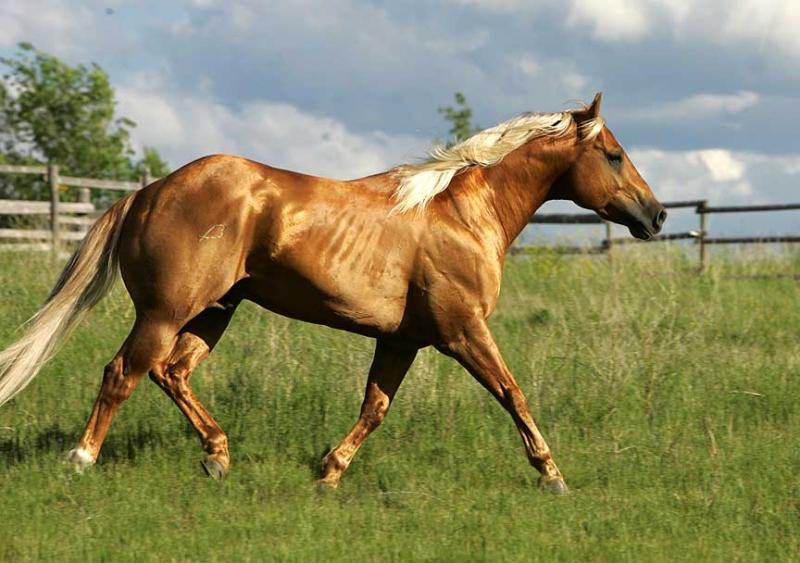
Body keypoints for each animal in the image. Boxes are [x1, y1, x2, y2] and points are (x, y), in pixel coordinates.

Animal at [0, 93, 665, 493]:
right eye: (613, 154)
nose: (655, 215)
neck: (461, 214)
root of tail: (148, 192)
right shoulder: (462, 331)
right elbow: (512, 392)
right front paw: (552, 474)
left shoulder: (402, 341)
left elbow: (375, 408)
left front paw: (328, 475)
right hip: (166, 311)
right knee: (124, 372)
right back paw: (81, 460)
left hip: (214, 311)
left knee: (171, 372)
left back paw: (217, 456)